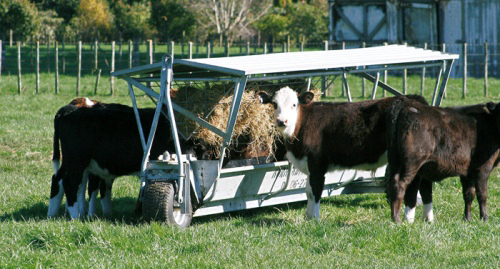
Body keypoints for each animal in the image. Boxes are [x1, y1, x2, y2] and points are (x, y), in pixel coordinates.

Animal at [260, 87, 428, 219]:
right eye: (274, 104)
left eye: (294, 104)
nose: (282, 121)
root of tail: (410, 98)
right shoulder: (309, 166)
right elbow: (308, 191)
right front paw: (307, 217)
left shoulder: (317, 165)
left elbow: (315, 191)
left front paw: (314, 219)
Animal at [384, 95, 498, 223]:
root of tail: (407, 103)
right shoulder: (483, 167)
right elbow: (482, 194)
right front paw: (485, 218)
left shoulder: (467, 170)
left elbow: (468, 194)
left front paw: (467, 219)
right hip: (411, 163)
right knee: (399, 185)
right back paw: (397, 219)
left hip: (397, 162)